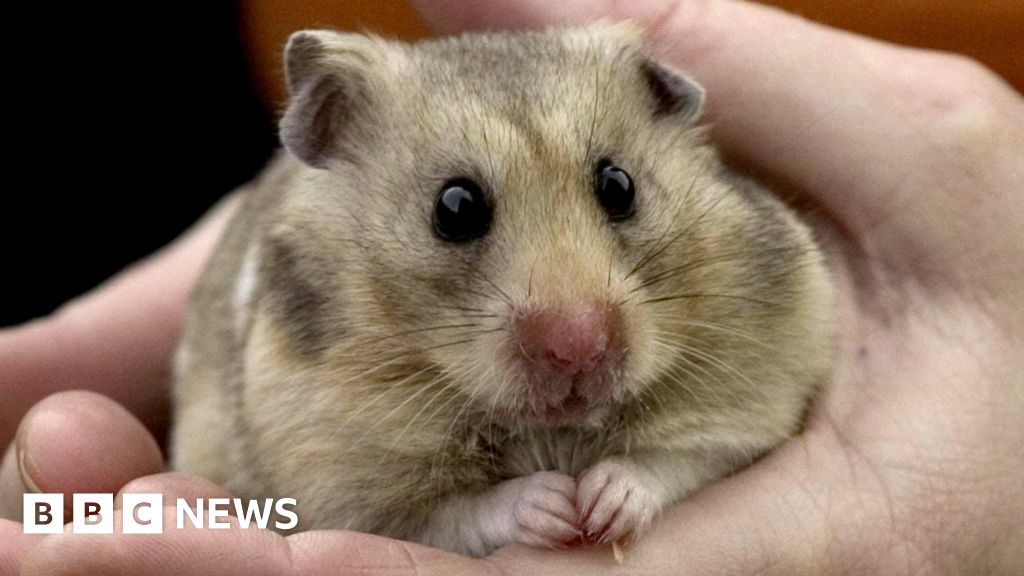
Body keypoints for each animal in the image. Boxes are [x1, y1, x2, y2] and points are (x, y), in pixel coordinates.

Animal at [174, 23, 831, 557]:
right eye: (455, 208)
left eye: (619, 185)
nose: (579, 348)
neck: (553, 429)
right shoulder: (339, 483)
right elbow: (459, 513)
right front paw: (553, 507)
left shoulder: (758, 396)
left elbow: (678, 460)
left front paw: (602, 506)